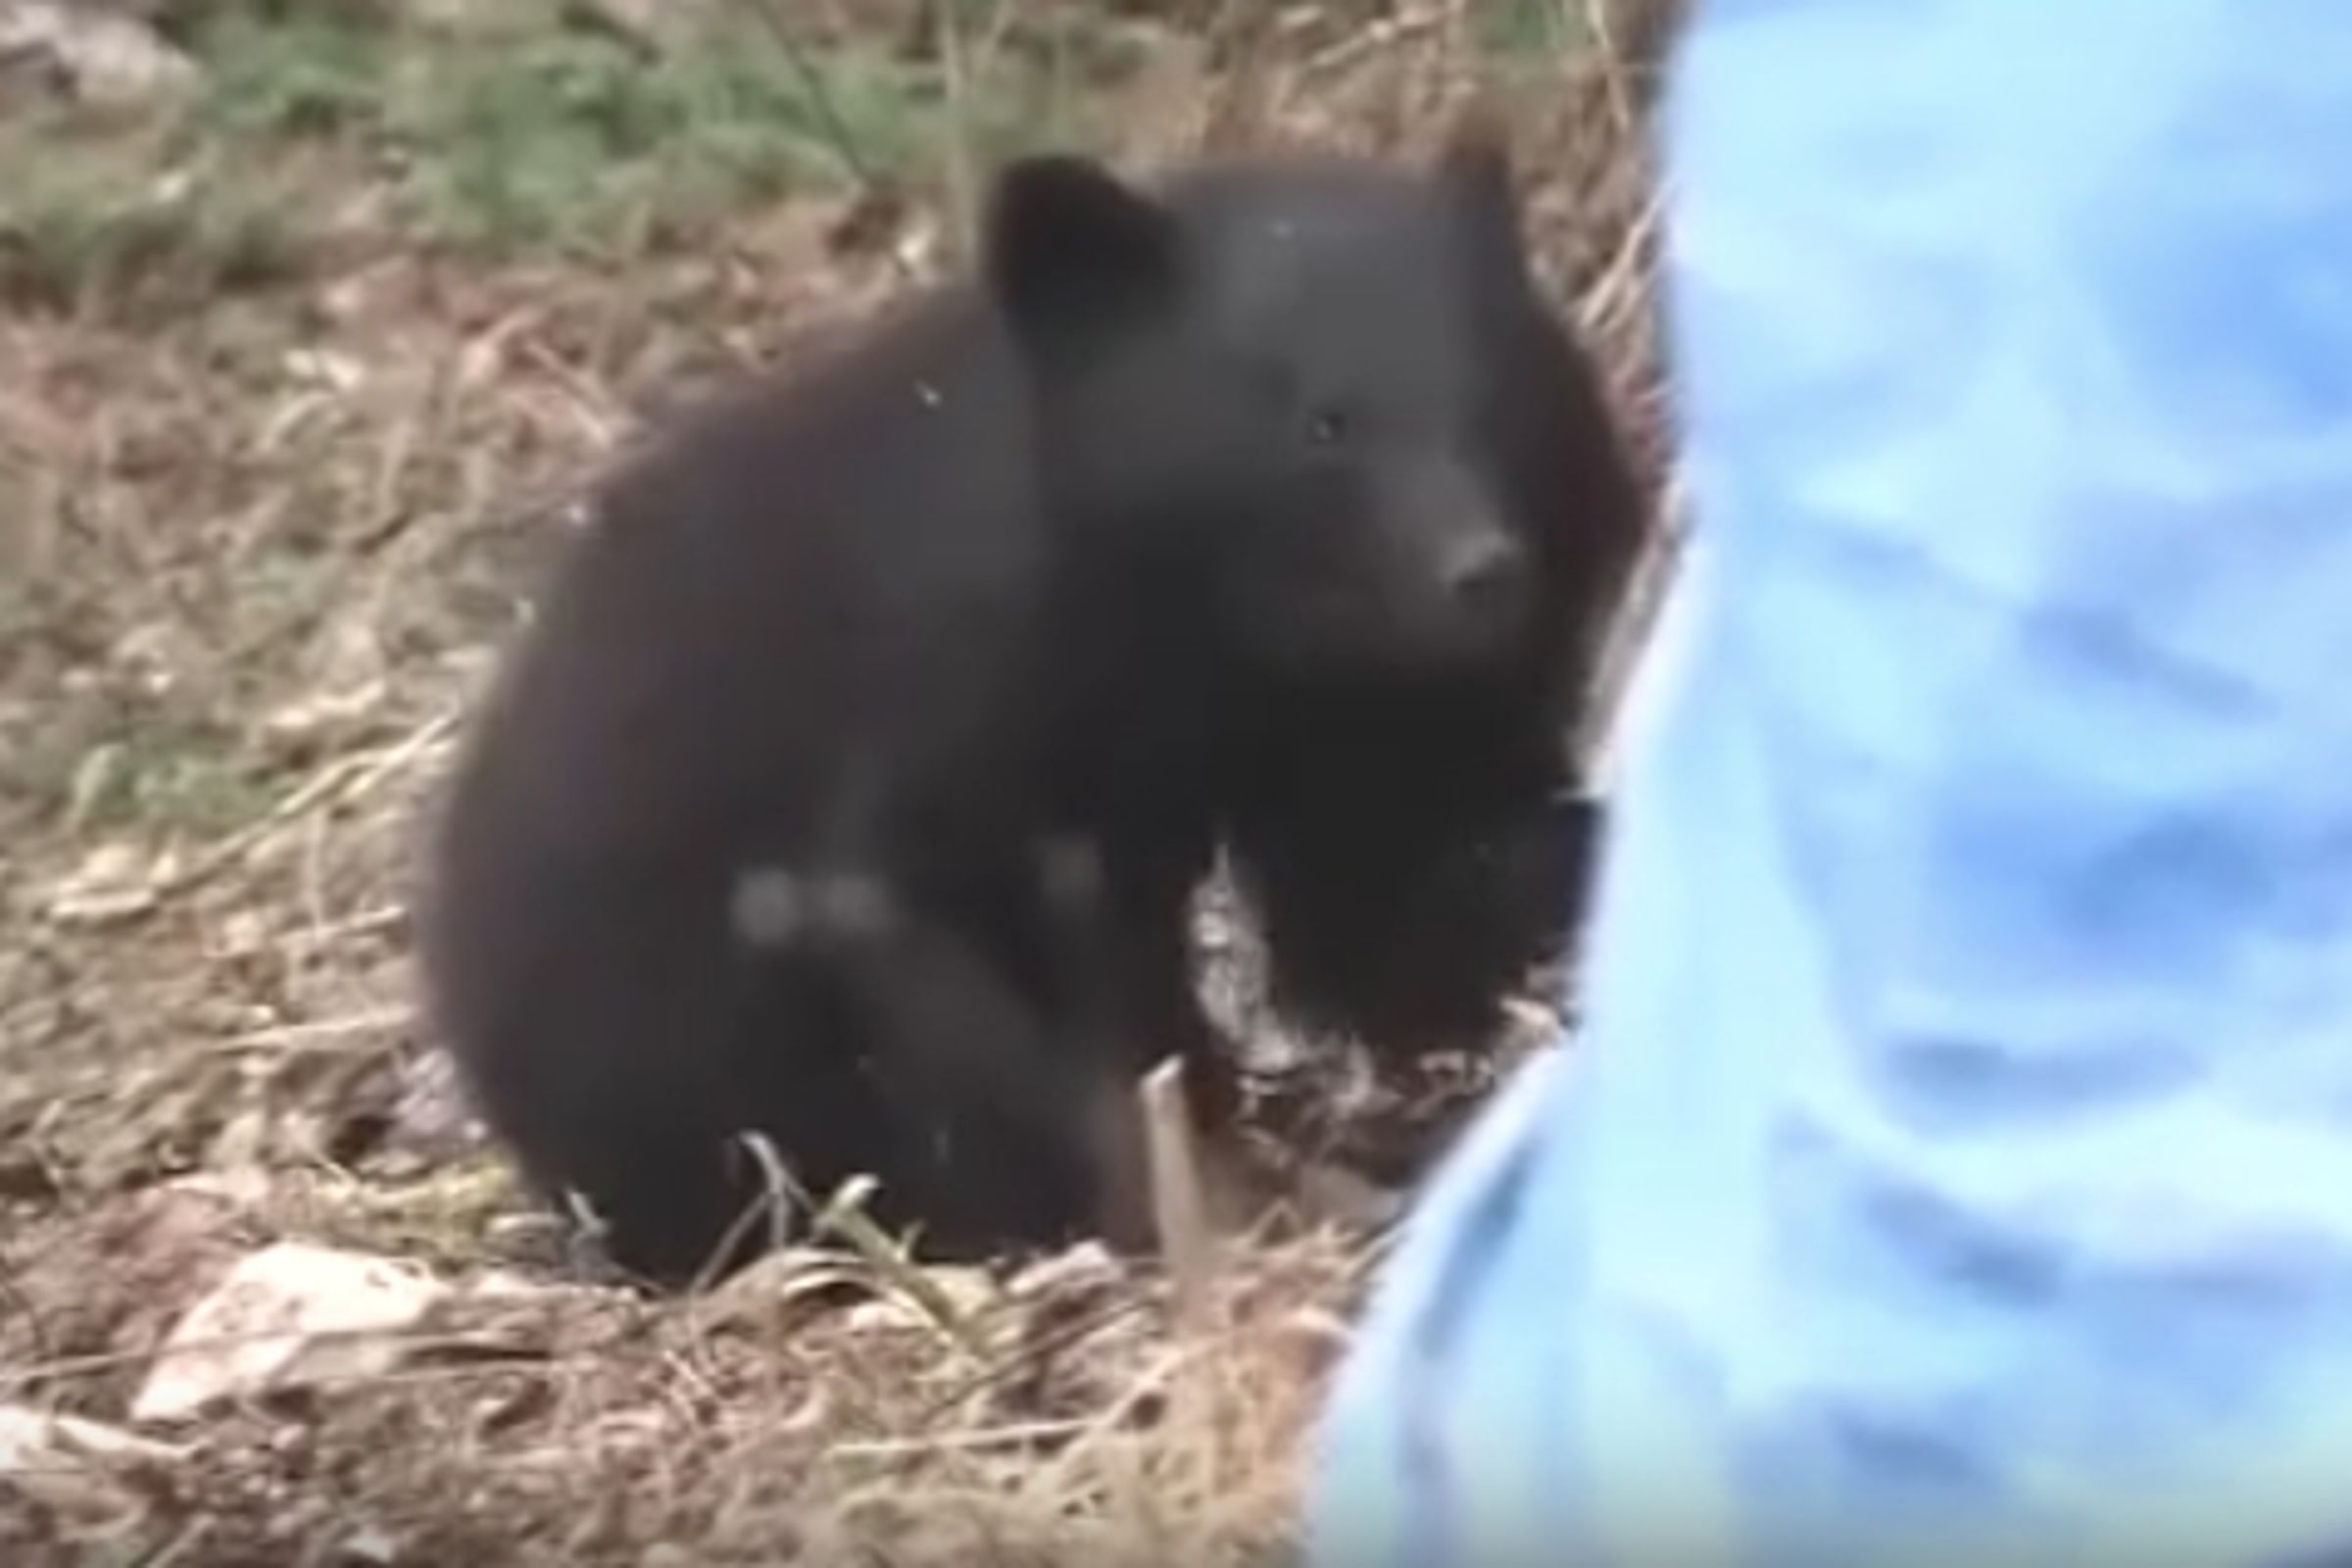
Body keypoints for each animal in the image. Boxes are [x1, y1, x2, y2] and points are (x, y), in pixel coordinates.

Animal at [417, 122, 1647, 1290]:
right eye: (1323, 423)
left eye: (1495, 399)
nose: (1484, 572)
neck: (1225, 638)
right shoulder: (960, 705)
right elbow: (944, 936)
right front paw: (1200, 1198)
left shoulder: (1357, 723)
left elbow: (1392, 896)